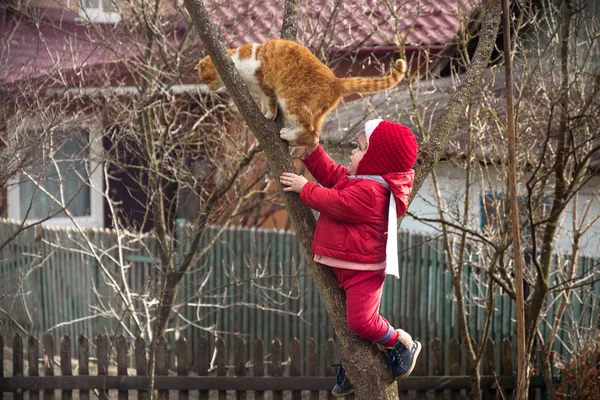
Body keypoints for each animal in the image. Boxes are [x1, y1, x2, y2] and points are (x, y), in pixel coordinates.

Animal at [195, 38, 406, 145]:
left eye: (205, 79)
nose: (208, 88)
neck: (235, 61)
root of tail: (335, 81)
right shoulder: (260, 92)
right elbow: (263, 102)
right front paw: (263, 112)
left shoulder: (266, 86)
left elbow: (270, 103)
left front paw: (268, 116)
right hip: (315, 112)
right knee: (315, 136)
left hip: (292, 102)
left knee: (308, 128)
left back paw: (288, 135)